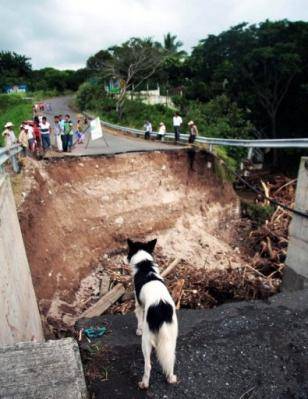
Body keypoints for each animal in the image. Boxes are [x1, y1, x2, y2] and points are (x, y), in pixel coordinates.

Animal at [126, 239, 177, 390]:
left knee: (148, 365)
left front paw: (138, 330)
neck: (145, 265)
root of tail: (161, 307)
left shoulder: (138, 304)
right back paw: (171, 378)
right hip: (171, 336)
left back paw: (144, 384)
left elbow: (139, 319)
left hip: (146, 340)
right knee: (170, 358)